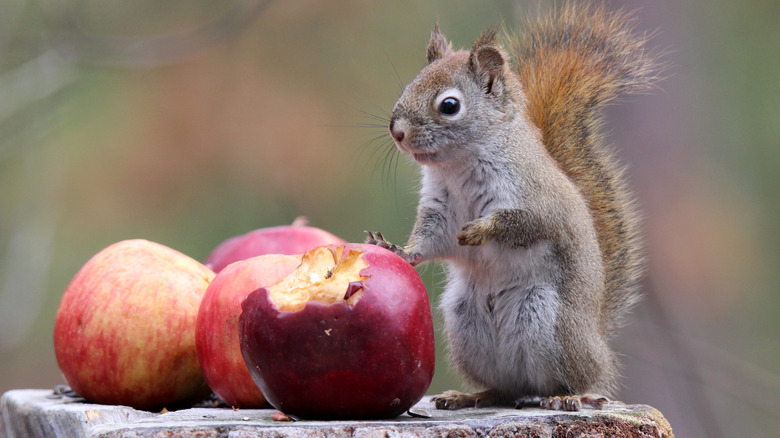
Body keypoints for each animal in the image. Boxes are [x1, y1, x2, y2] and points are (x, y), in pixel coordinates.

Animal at [366, 2, 660, 410]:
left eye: (449, 105)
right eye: (410, 85)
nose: (397, 131)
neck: (459, 166)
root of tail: (598, 343)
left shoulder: (536, 198)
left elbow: (526, 223)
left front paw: (481, 229)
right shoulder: (440, 209)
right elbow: (428, 240)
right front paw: (397, 249)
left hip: (546, 320)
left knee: (565, 380)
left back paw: (568, 396)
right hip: (465, 323)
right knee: (506, 388)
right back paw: (471, 395)